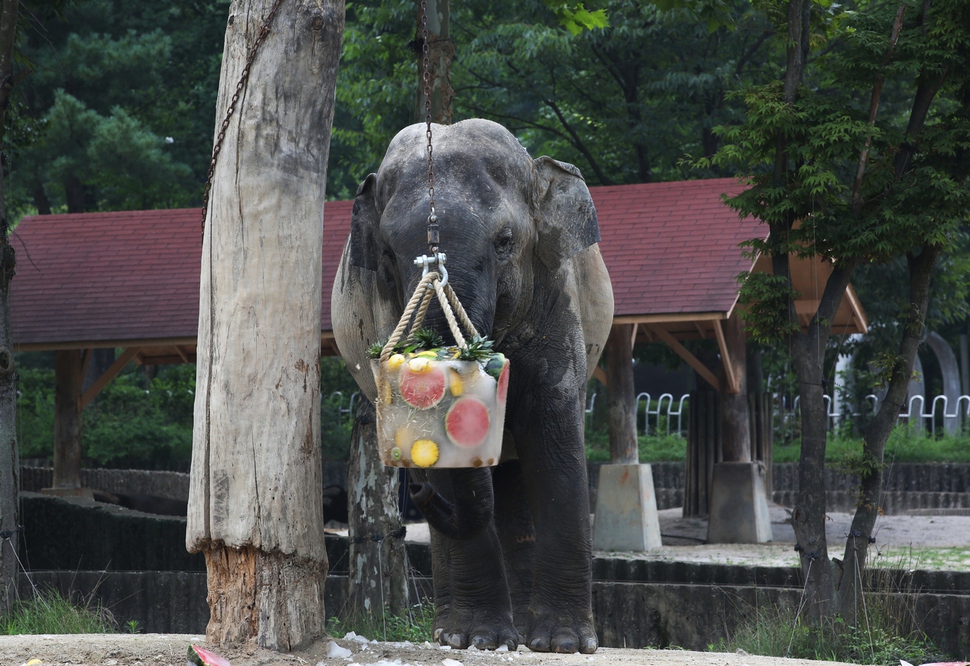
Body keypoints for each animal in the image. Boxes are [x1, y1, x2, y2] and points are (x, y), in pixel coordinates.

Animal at [328, 119, 608, 652]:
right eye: (389, 253)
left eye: (504, 241)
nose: (414, 489)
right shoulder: (383, 303)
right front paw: (479, 639)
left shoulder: (557, 294)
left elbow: (555, 430)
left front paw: (564, 643)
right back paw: (460, 634)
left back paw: (526, 634)